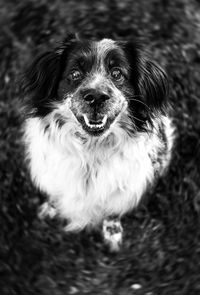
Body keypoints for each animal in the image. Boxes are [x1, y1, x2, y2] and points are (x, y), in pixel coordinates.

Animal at [21, 34, 173, 252]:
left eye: (117, 73)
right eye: (75, 73)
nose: (96, 97)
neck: (90, 152)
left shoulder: (124, 189)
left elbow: (112, 213)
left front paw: (112, 236)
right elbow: (55, 194)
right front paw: (48, 209)